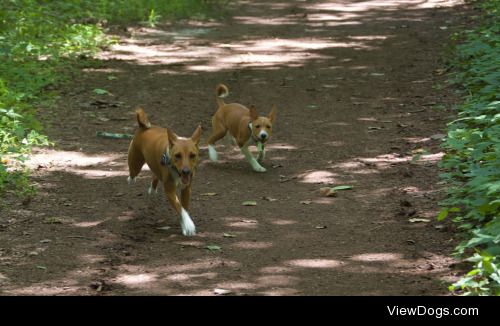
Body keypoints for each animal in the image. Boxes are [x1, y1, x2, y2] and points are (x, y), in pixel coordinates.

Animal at [127, 108, 201, 236]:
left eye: (192, 155)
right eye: (177, 155)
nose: (186, 171)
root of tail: (143, 127)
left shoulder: (187, 189)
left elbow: (184, 209)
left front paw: (184, 225)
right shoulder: (170, 191)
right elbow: (180, 208)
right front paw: (188, 225)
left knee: (155, 174)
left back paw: (152, 189)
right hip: (135, 165)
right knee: (132, 174)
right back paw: (132, 180)